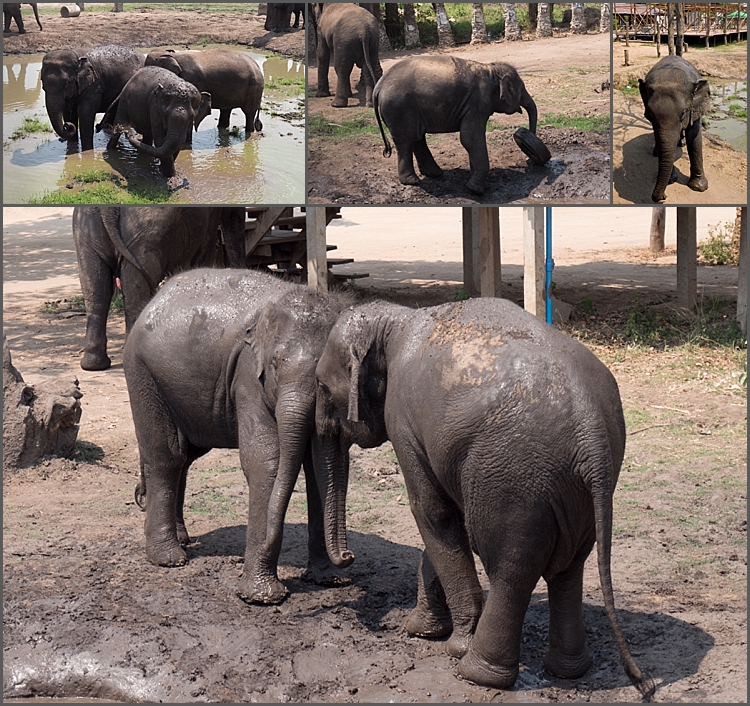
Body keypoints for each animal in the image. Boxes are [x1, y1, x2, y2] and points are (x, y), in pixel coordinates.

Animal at [72, 206, 247, 372]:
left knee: (96, 293)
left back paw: (93, 365)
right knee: (135, 293)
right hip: (146, 237)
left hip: (86, 233)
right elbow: (202, 257)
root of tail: (107, 210)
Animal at [123, 268, 354, 604]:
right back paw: (169, 558)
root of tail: (154, 300)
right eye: (275, 364)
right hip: (143, 374)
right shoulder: (248, 377)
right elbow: (266, 461)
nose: (348, 556)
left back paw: (183, 540)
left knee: (185, 456)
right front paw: (261, 598)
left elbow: (326, 465)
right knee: (165, 456)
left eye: (324, 372)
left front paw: (330, 580)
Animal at [315, 298, 654, 699]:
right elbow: (448, 518)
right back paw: (568, 670)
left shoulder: (403, 422)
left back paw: (476, 672)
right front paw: (422, 630)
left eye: (320, 385)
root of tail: (591, 431)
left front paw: (453, 642)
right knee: (568, 569)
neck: (395, 321)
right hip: (578, 488)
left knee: (510, 569)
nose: (348, 558)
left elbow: (431, 512)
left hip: (514, 480)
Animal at [373, 56, 539, 194]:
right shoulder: (478, 103)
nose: (530, 158)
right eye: (521, 90)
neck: (492, 69)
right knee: (406, 140)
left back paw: (435, 174)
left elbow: (470, 140)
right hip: (399, 108)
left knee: (416, 138)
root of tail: (379, 85)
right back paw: (412, 181)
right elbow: (470, 138)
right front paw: (476, 190)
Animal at [638, 55, 711, 203]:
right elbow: (659, 135)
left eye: (683, 113)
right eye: (650, 114)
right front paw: (671, 180)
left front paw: (698, 187)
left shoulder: (695, 107)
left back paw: (681, 143)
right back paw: (657, 151)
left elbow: (694, 136)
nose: (664, 196)